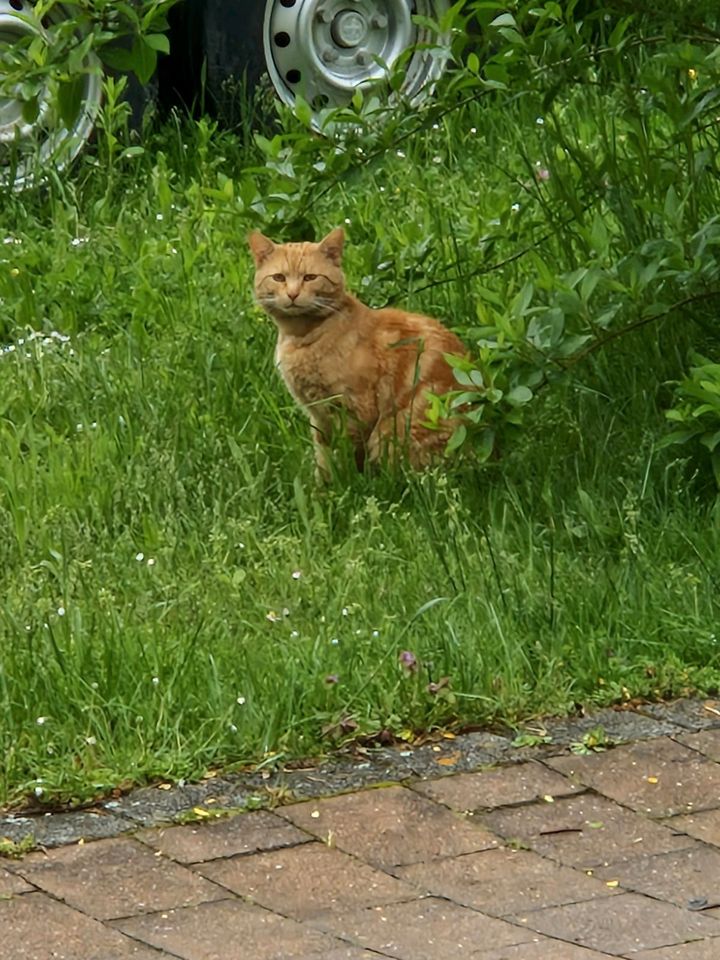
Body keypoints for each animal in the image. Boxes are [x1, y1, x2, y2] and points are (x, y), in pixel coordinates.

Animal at [249, 226, 466, 480]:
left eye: (310, 277)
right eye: (279, 277)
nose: (293, 294)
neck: (302, 337)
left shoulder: (354, 409)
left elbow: (347, 456)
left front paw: (348, 482)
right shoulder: (319, 416)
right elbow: (323, 456)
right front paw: (322, 486)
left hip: (393, 434)